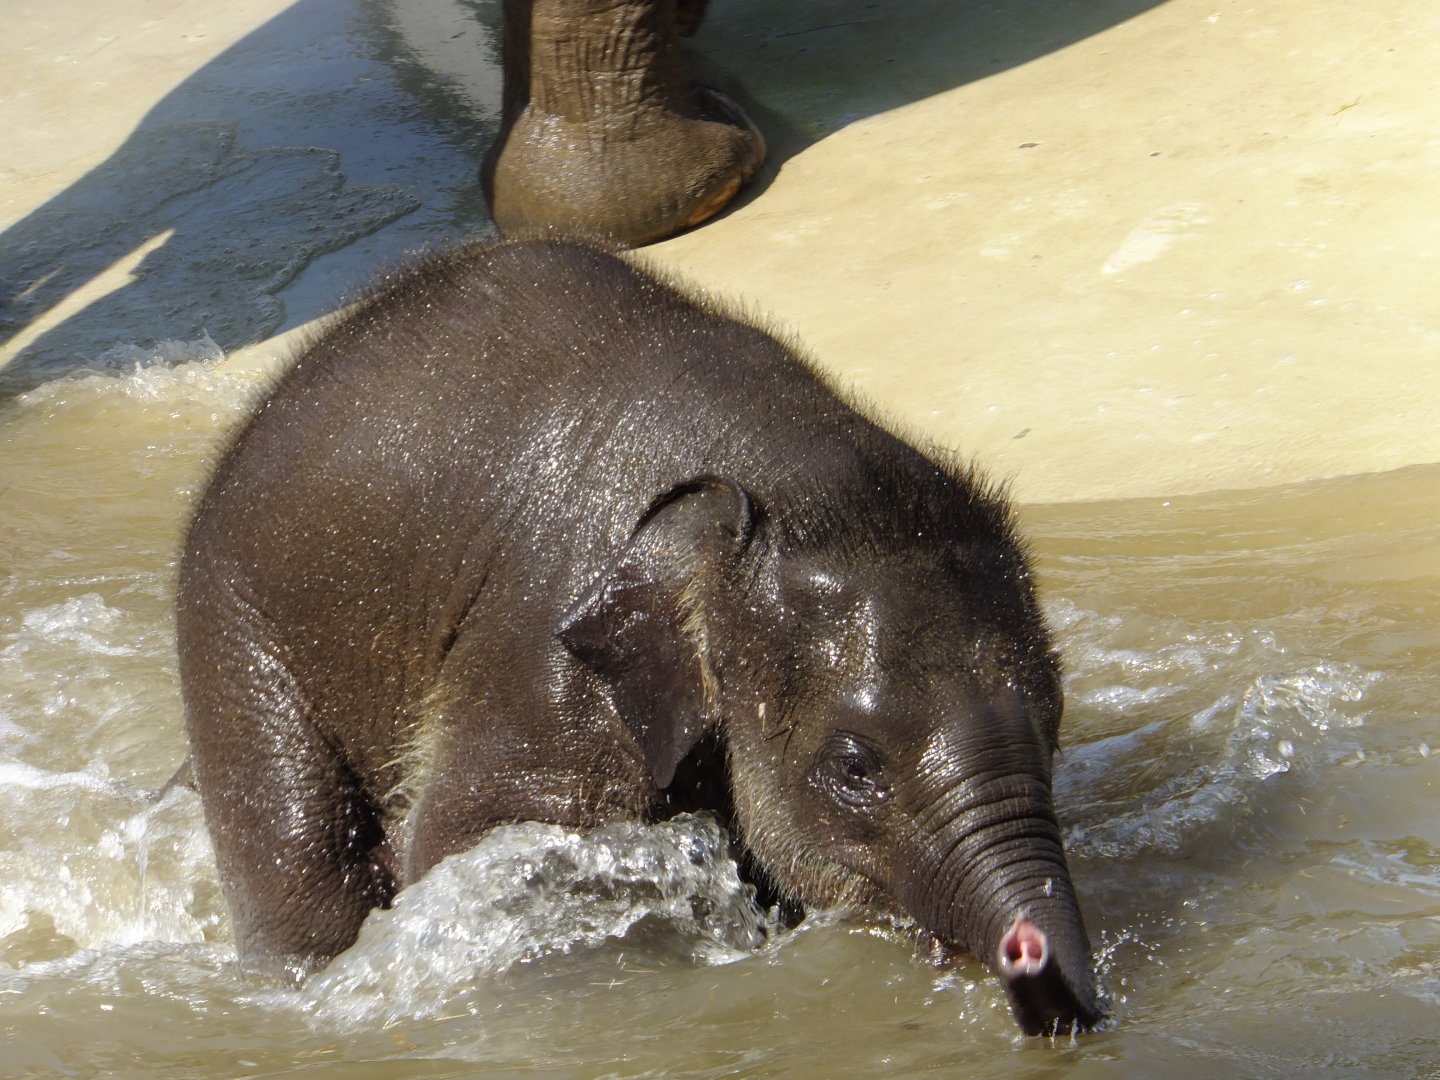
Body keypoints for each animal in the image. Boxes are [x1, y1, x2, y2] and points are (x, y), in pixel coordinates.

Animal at [176, 237, 1105, 1036]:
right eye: (854, 770)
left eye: (1055, 726)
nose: (1030, 959)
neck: (777, 476)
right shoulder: (544, 653)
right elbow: (476, 838)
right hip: (236, 633)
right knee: (304, 860)